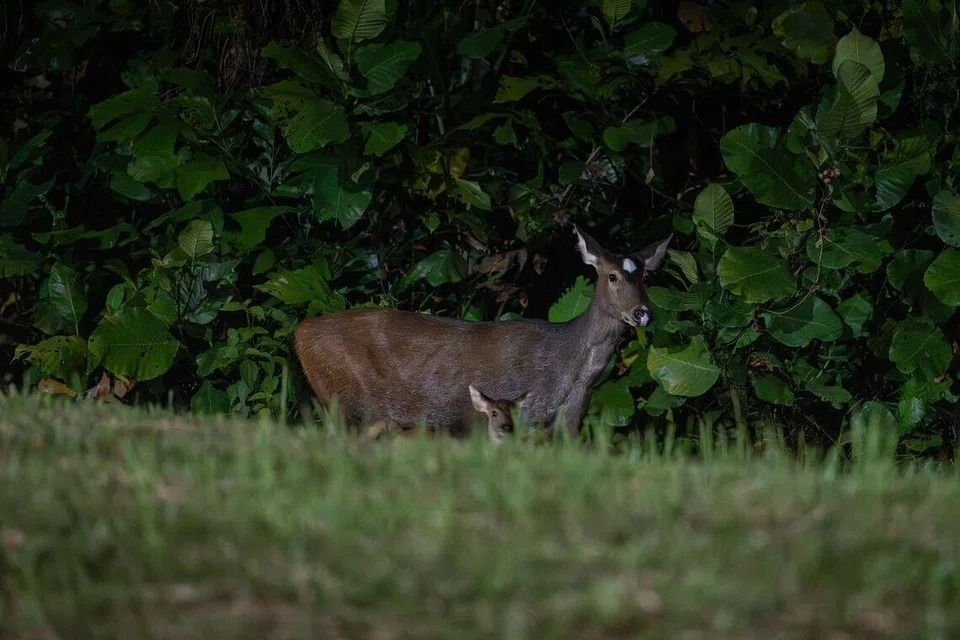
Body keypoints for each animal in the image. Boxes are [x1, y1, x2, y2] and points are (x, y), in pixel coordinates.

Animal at [294, 225, 671, 436]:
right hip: (345, 402)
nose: (642, 314)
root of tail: (300, 333)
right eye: (612, 276)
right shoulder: (516, 408)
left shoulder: (569, 419)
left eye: (646, 276)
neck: (571, 374)